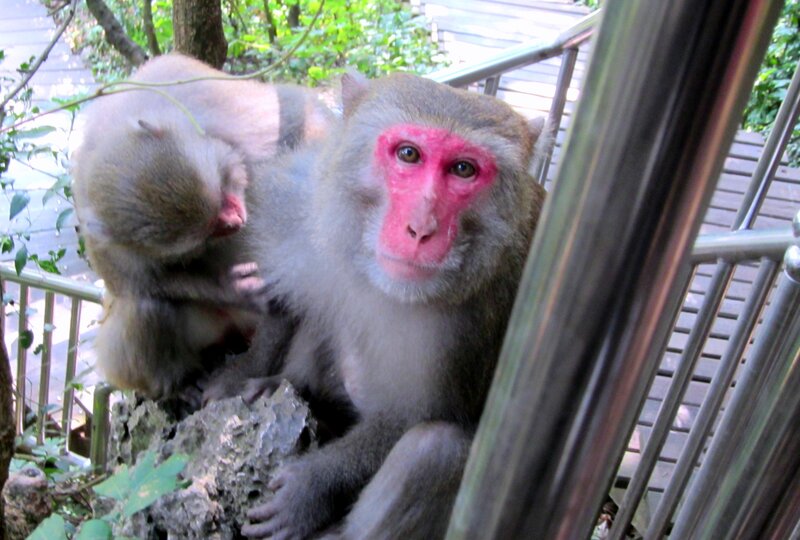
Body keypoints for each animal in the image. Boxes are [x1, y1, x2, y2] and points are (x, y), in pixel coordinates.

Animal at [71, 53, 333, 399]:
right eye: (209, 233)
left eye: (223, 200)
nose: (236, 221)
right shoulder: (92, 214)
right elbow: (129, 281)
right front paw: (233, 289)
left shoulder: (220, 106)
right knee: (147, 305)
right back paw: (180, 383)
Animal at [204, 72, 546, 538]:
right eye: (408, 154)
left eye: (463, 169)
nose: (420, 229)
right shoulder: (303, 198)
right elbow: (285, 301)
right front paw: (244, 374)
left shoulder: (478, 320)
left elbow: (412, 414)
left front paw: (311, 487)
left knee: (433, 451)